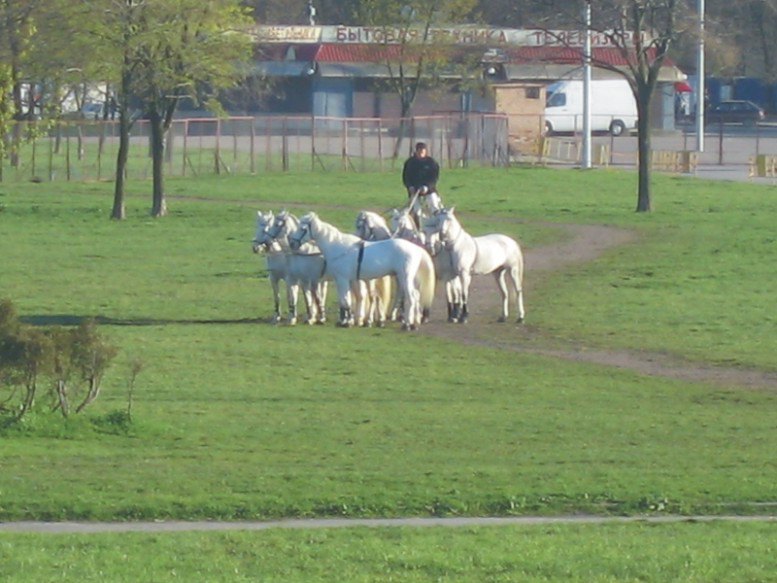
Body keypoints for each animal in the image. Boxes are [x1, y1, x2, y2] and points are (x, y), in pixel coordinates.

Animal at [292, 212, 436, 330]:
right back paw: (412, 323)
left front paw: (345, 323)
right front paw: (346, 321)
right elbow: (346, 301)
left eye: (302, 228)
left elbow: (345, 300)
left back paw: (407, 325)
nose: (293, 242)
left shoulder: (342, 279)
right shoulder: (348, 280)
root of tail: (416, 248)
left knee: (411, 297)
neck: (338, 247)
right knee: (415, 296)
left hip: (404, 277)